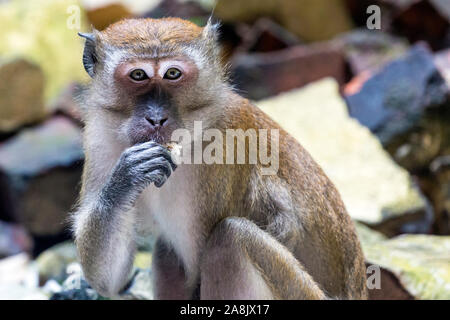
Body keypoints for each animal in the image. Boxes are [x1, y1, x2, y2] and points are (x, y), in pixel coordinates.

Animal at [74, 18, 368, 300]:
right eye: (138, 75)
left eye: (172, 74)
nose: (156, 117)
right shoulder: (100, 137)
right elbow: (109, 281)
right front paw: (127, 177)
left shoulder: (224, 147)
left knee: (231, 238)